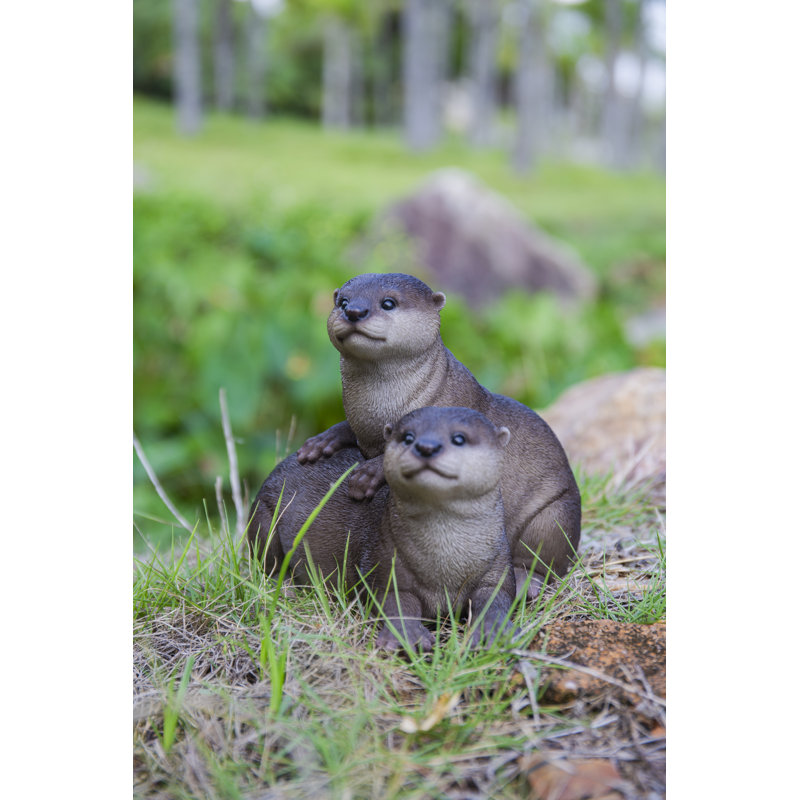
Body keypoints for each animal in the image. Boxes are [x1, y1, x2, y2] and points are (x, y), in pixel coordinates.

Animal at [248, 406, 517, 650]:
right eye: (408, 437)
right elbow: (391, 600)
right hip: (264, 514)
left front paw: (494, 632)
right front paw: (408, 635)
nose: (426, 447)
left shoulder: (498, 563)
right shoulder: (381, 559)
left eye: (459, 438)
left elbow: (498, 597)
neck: (446, 565)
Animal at [296, 272, 581, 596]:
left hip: (553, 515)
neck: (377, 414)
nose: (354, 311)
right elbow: (346, 429)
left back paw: (524, 581)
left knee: (547, 560)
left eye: (388, 302)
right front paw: (320, 443)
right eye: (342, 301)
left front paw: (368, 475)